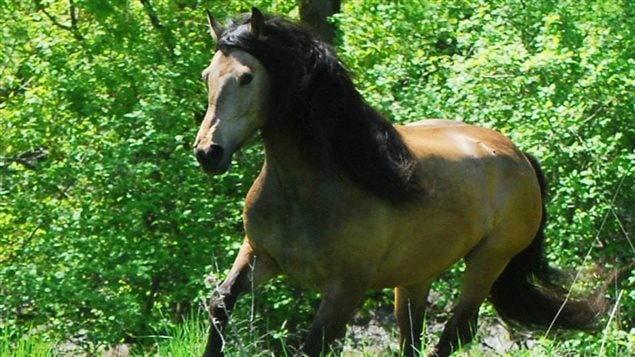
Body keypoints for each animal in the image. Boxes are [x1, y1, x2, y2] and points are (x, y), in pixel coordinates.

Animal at [193, 6, 600, 354]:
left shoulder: (345, 291)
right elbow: (221, 303)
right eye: (207, 76)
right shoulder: (259, 254)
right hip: (416, 275)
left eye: (246, 77)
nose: (208, 152)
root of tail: (519, 156)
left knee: (457, 331)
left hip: (488, 260)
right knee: (413, 339)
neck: (307, 190)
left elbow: (312, 347)